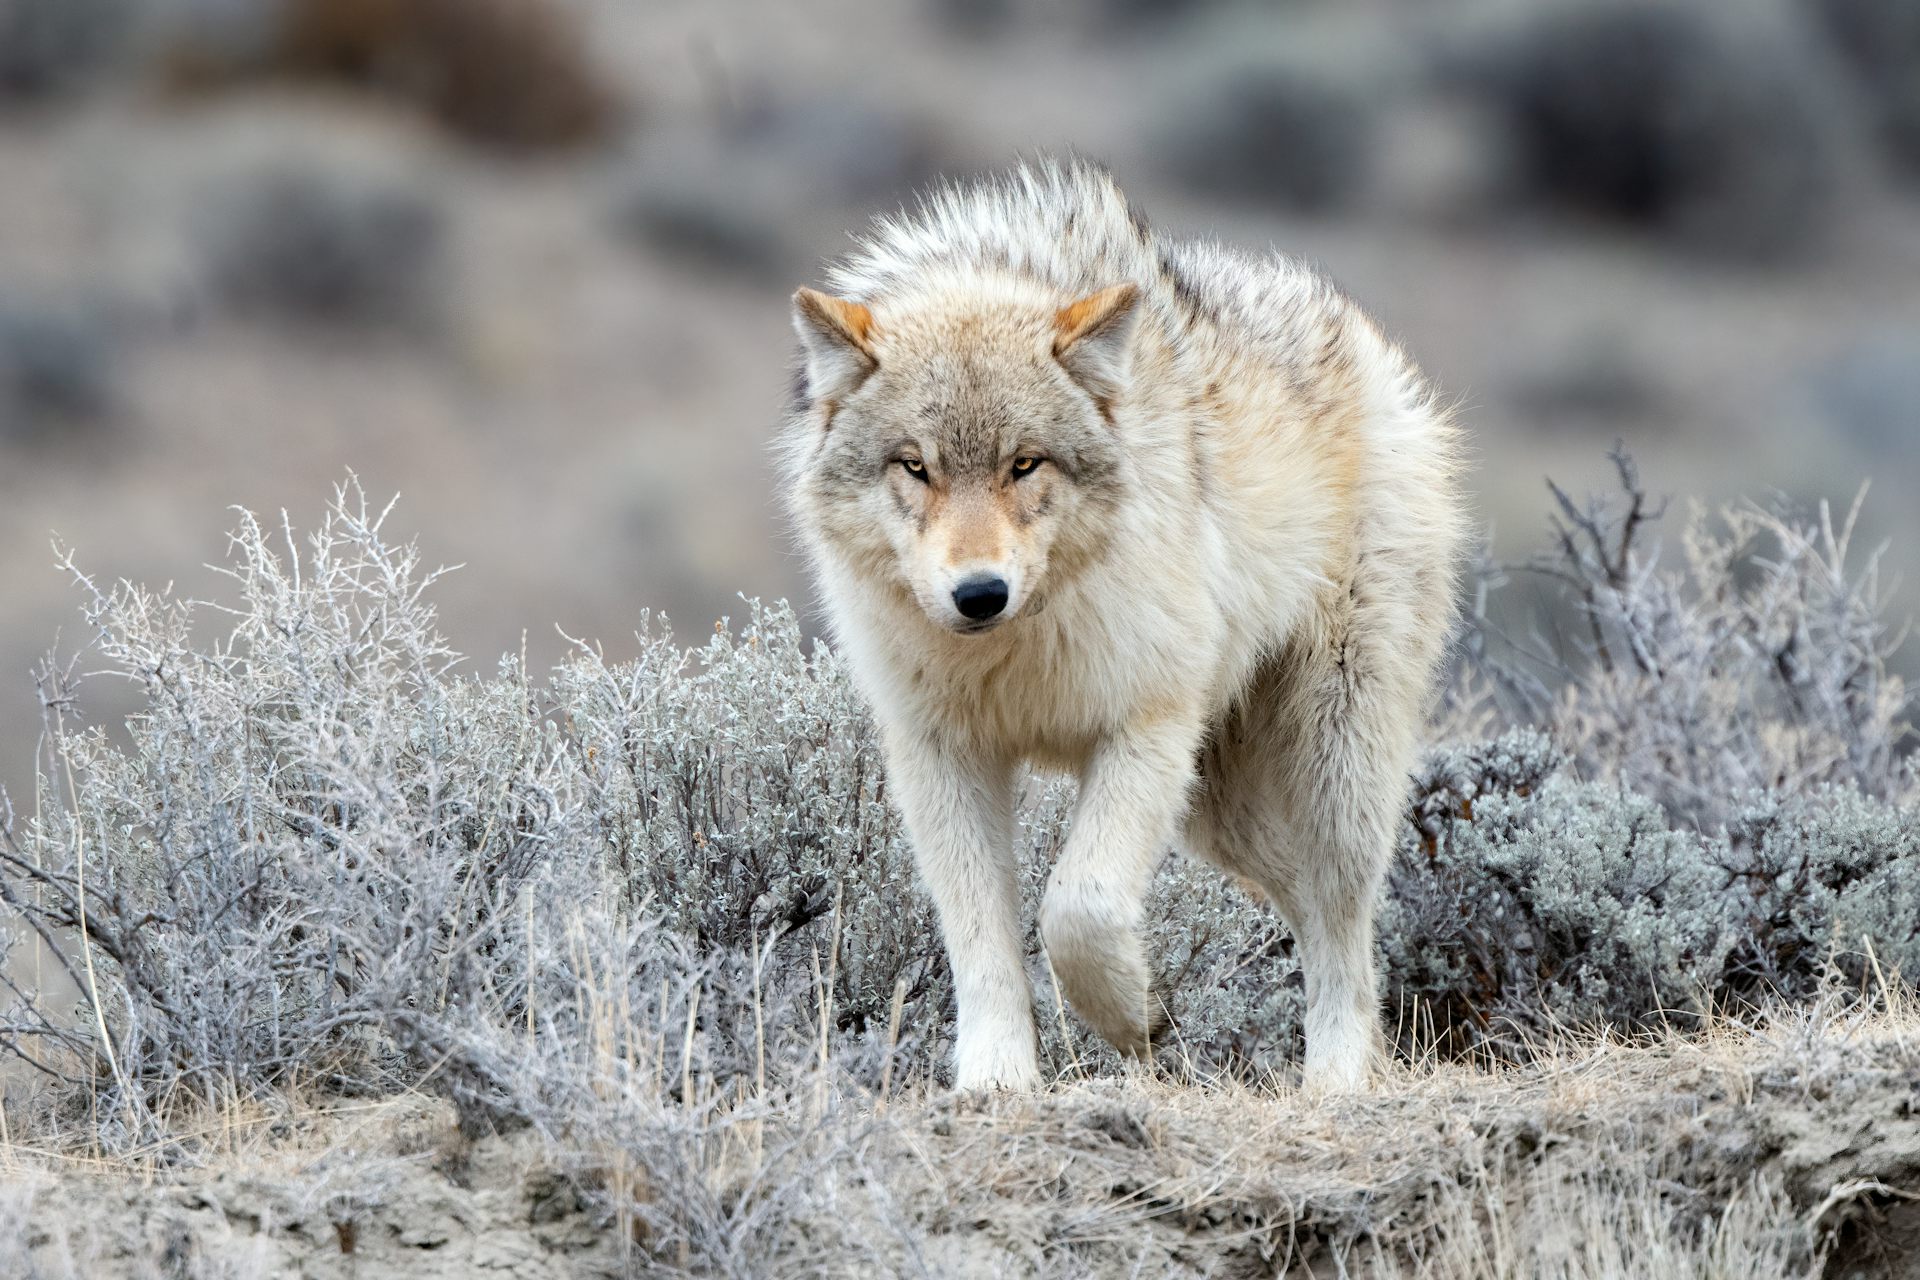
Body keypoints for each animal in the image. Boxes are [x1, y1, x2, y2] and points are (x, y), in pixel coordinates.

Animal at [771, 160, 1459, 1090]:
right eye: (915, 467)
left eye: (1024, 463)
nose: (979, 594)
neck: (1017, 652)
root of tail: (1362, 333)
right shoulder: (941, 755)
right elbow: (981, 940)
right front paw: (996, 1078)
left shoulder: (1147, 727)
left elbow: (1078, 907)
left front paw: (1130, 1015)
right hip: (1220, 812)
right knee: (1298, 902)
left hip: (1331, 769)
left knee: (1343, 920)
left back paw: (1340, 1078)